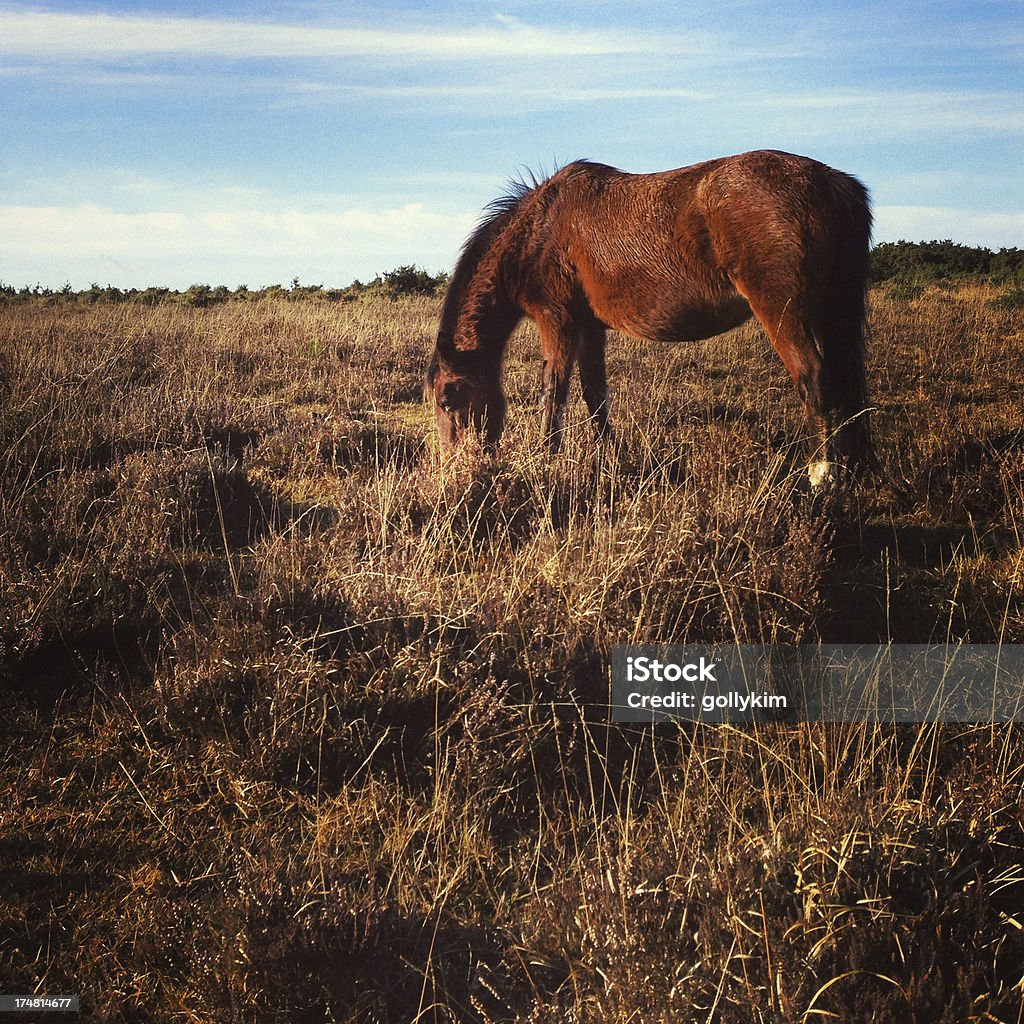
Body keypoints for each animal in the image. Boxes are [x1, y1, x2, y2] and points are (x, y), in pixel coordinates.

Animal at [425, 149, 872, 485]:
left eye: (449, 398)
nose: (455, 470)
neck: (543, 228)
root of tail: (830, 181)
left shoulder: (558, 320)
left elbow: (554, 389)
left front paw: (546, 457)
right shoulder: (589, 327)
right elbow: (595, 395)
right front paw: (609, 456)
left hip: (782, 311)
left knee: (812, 376)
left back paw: (821, 473)